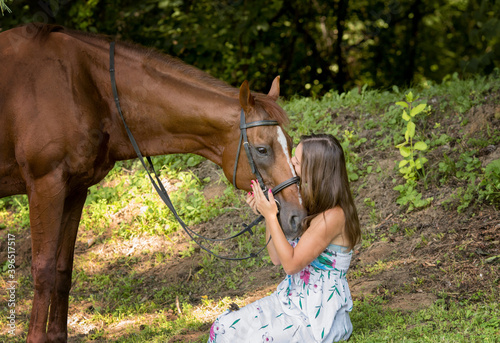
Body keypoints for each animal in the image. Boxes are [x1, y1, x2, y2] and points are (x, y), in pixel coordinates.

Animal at [0, 23, 306, 342]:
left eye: (290, 144)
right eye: (262, 149)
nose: (298, 216)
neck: (85, 88)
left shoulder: (75, 190)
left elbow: (62, 269)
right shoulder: (45, 186)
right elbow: (44, 271)